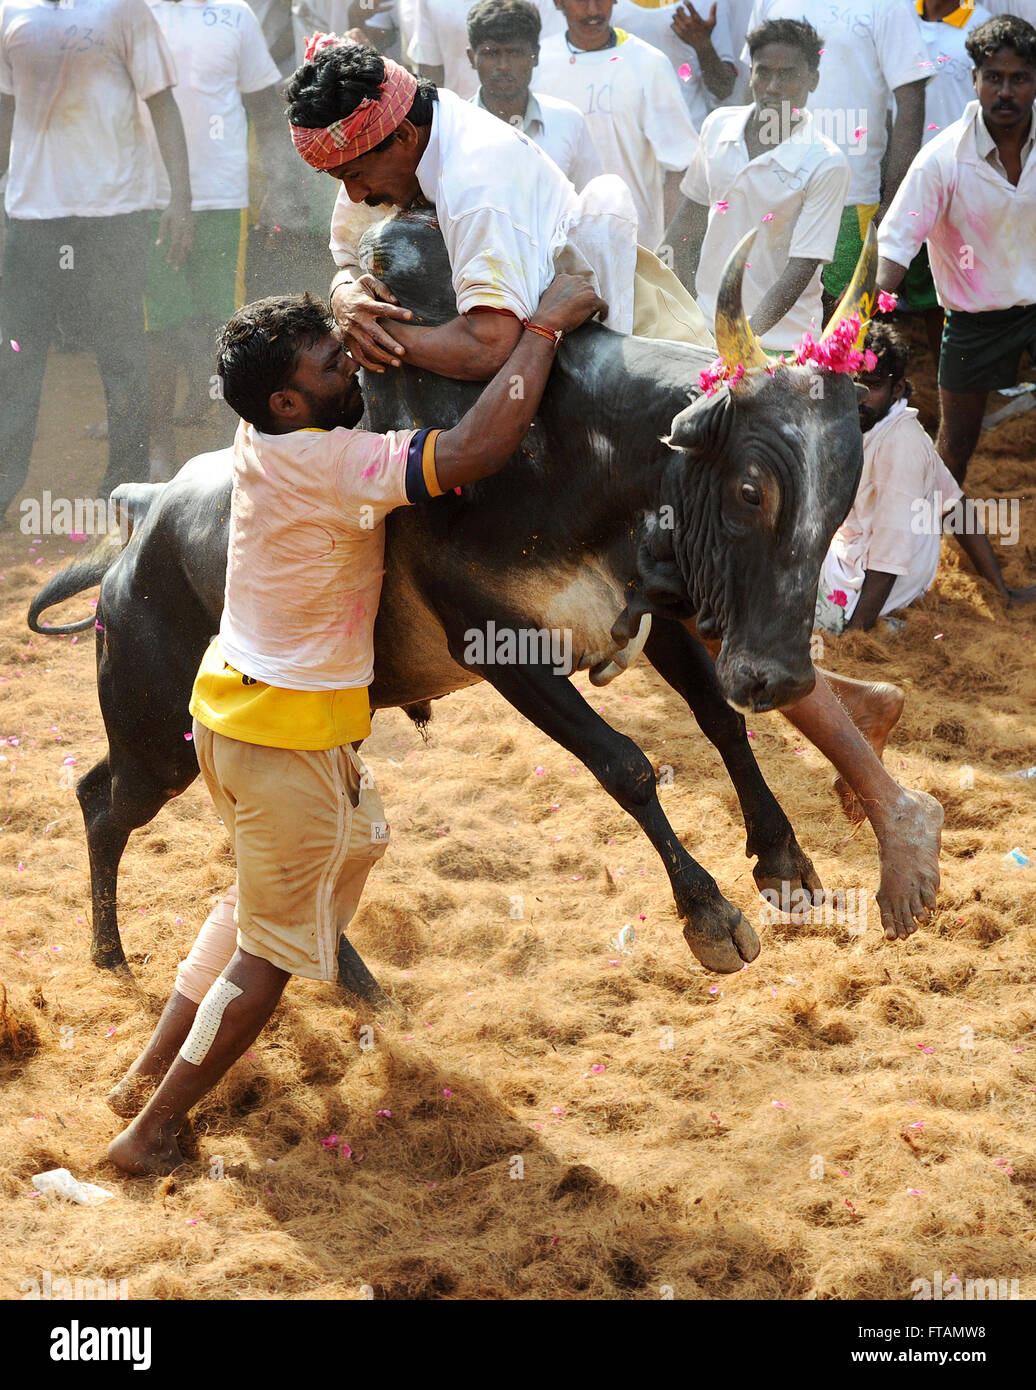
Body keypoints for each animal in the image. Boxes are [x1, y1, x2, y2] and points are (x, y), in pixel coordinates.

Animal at [28, 205, 862, 989]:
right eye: (751, 488)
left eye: (844, 494)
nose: (783, 676)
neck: (568, 451)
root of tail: (142, 518)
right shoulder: (499, 648)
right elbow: (624, 764)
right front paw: (709, 913)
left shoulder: (652, 617)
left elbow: (719, 718)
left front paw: (783, 862)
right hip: (158, 741)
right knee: (102, 803)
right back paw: (113, 954)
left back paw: (346, 981)